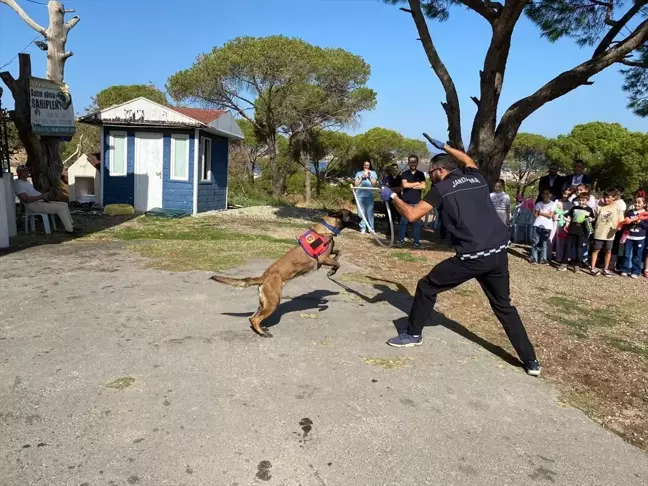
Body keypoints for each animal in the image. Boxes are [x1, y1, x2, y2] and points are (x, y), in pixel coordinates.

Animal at [210, 209, 356, 338]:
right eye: (351, 214)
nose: (360, 218)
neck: (327, 228)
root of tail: (263, 277)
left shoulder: (328, 255)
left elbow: (339, 252)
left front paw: (334, 266)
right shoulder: (323, 259)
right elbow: (338, 263)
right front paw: (332, 271)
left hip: (265, 303)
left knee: (252, 317)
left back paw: (262, 329)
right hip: (273, 302)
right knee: (255, 319)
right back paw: (263, 333)